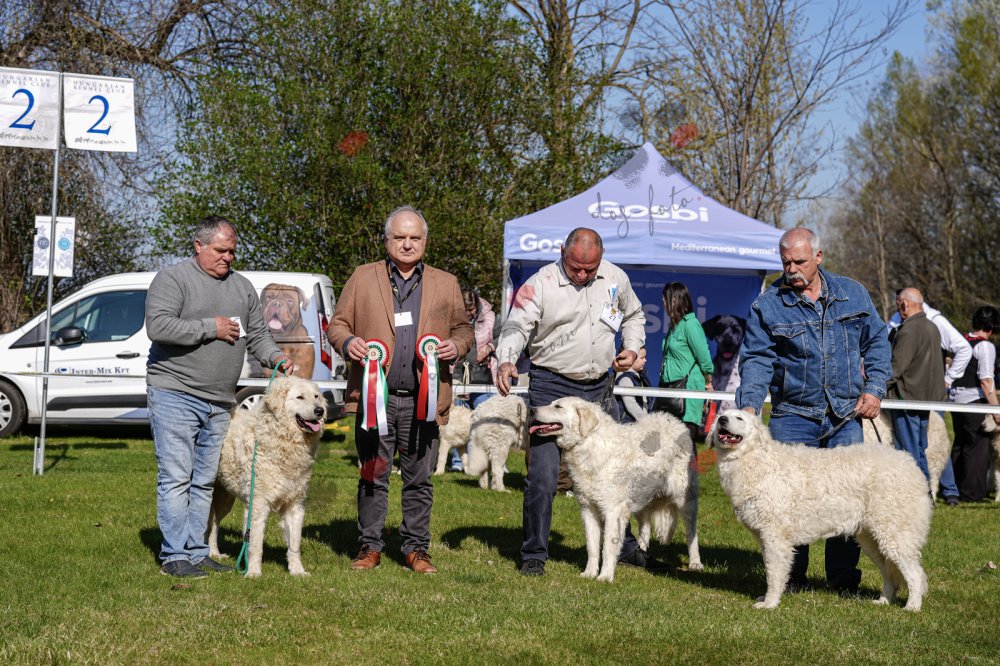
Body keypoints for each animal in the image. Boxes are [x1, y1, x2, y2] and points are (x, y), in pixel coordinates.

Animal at [208, 376, 327, 577]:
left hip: (225, 499)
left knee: (214, 523)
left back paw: (215, 553)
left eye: (316, 396)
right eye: (300, 397)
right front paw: (253, 573)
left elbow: (295, 544)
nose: (320, 410)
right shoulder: (257, 505)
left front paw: (298, 572)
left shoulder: (295, 505)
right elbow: (255, 545)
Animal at [531, 397, 702, 581]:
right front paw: (589, 573)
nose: (532, 409)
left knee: (692, 532)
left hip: (685, 499)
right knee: (645, 527)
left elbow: (607, 547)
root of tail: (677, 422)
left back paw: (695, 563)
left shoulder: (613, 511)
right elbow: (592, 546)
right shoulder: (588, 509)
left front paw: (605, 577)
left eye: (558, 406)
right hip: (642, 496)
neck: (587, 444)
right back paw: (642, 552)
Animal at [710, 409, 930, 611]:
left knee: (915, 574)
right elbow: (772, 570)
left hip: (894, 535)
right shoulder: (765, 537)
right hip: (872, 539)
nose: (722, 420)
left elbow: (773, 574)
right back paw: (883, 601)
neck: (754, 458)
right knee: (889, 573)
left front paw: (769, 603)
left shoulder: (775, 537)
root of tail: (911, 466)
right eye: (722, 415)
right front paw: (768, 599)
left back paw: (912, 606)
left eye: (739, 418)